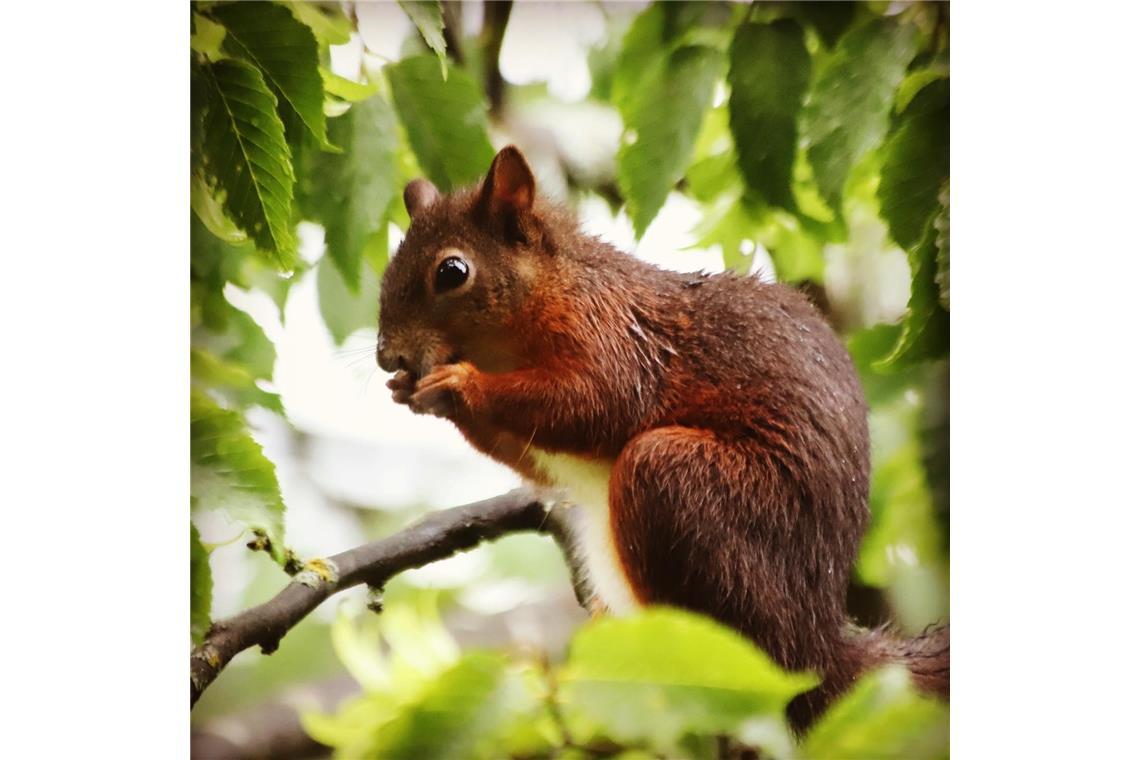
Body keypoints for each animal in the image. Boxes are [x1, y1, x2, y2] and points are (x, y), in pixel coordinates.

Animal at [378, 145, 948, 729]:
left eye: (452, 271)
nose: (387, 356)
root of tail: (816, 651)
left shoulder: (611, 341)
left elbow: (593, 404)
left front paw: (458, 385)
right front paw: (413, 392)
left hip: (683, 483)